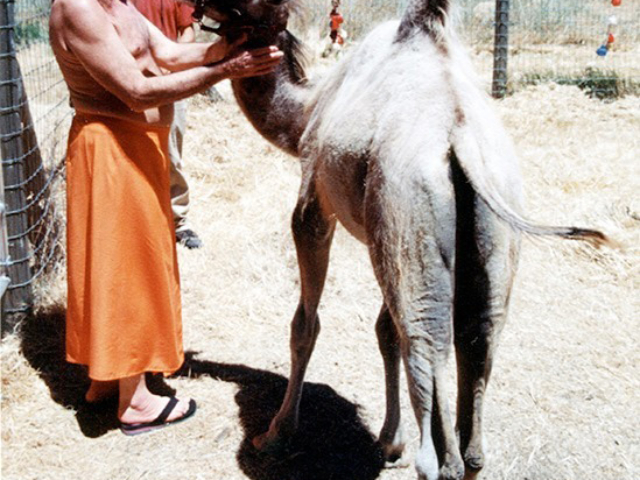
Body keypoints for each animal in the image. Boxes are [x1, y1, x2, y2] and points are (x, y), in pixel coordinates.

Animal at [189, 0, 604, 480]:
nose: (193, 10)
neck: (308, 111)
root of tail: (459, 141)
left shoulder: (314, 201)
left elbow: (305, 324)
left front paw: (276, 435)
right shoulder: (384, 238)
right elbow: (385, 331)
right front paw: (389, 441)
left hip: (413, 218)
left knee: (427, 369)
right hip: (486, 239)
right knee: (475, 352)